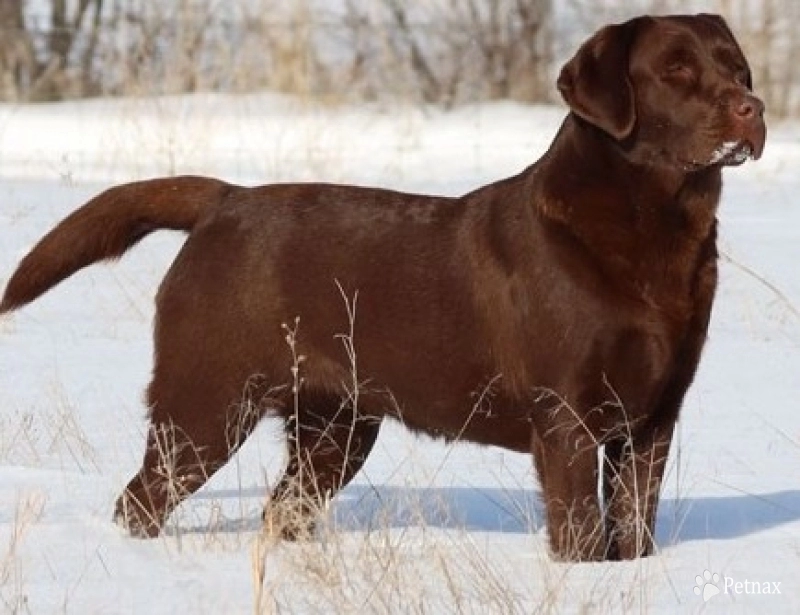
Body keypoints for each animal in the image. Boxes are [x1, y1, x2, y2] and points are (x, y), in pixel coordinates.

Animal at [0, 14, 764, 564]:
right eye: (675, 70)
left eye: (736, 66)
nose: (751, 108)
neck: (657, 233)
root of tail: (224, 199)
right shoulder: (568, 418)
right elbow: (580, 536)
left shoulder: (652, 421)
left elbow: (633, 531)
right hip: (205, 405)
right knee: (141, 500)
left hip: (335, 429)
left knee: (282, 510)